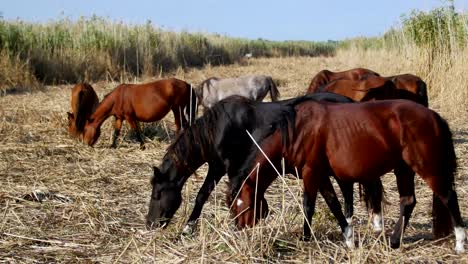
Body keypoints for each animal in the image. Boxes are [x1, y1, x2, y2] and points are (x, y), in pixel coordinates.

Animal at [146, 92, 354, 233]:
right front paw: (188, 228)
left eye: (157, 194)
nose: (150, 223)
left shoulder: (230, 167)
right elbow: (203, 195)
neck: (219, 128)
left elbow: (233, 193)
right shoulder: (216, 166)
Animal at [228, 98, 464, 252]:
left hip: (427, 168)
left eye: (239, 205)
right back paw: (394, 241)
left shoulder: (311, 172)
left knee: (449, 197)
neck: (297, 130)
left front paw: (305, 237)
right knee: (408, 201)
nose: (238, 230)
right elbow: (334, 204)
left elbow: (308, 205)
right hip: (403, 169)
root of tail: (434, 116)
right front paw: (349, 238)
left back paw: (460, 243)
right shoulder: (322, 175)